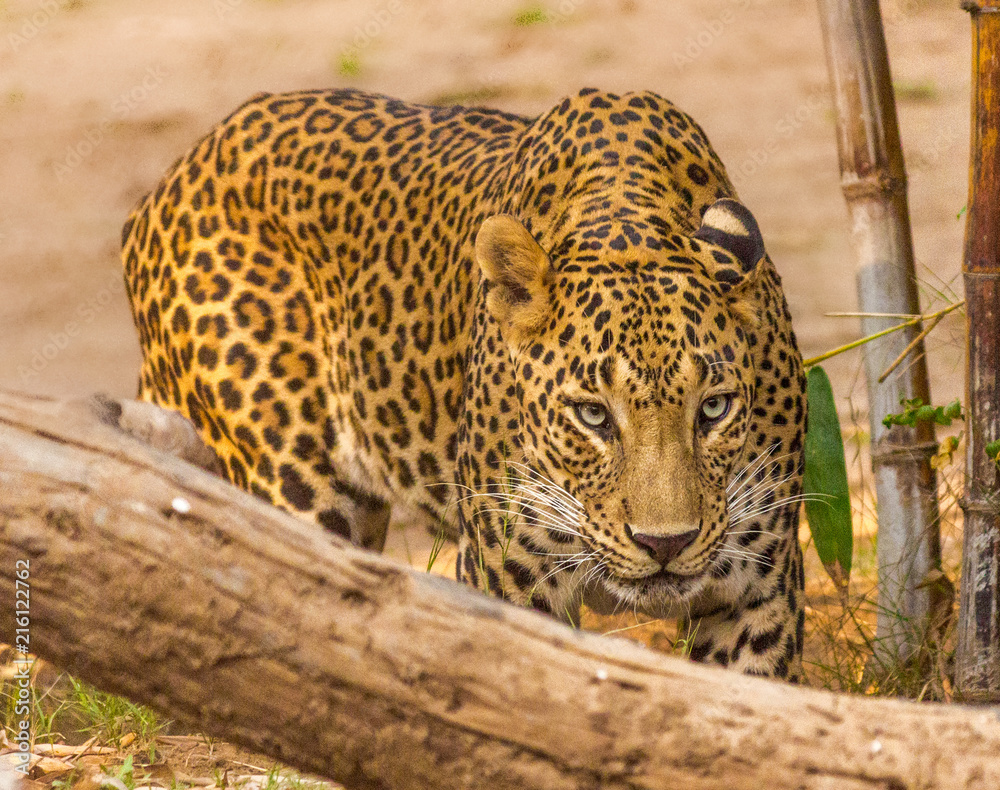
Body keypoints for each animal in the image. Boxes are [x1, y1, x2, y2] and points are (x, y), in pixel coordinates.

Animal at [122, 87, 807, 679]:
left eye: (713, 409)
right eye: (592, 416)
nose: (666, 543)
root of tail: (179, 171)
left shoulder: (755, 596)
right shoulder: (509, 581)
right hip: (290, 484)